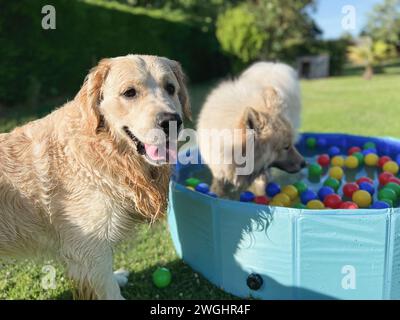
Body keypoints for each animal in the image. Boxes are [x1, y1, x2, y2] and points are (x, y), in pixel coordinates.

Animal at [0, 54, 191, 300]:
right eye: (130, 92)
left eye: (170, 88)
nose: (171, 121)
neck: (108, 151)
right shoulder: (88, 249)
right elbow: (108, 288)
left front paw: (117, 277)